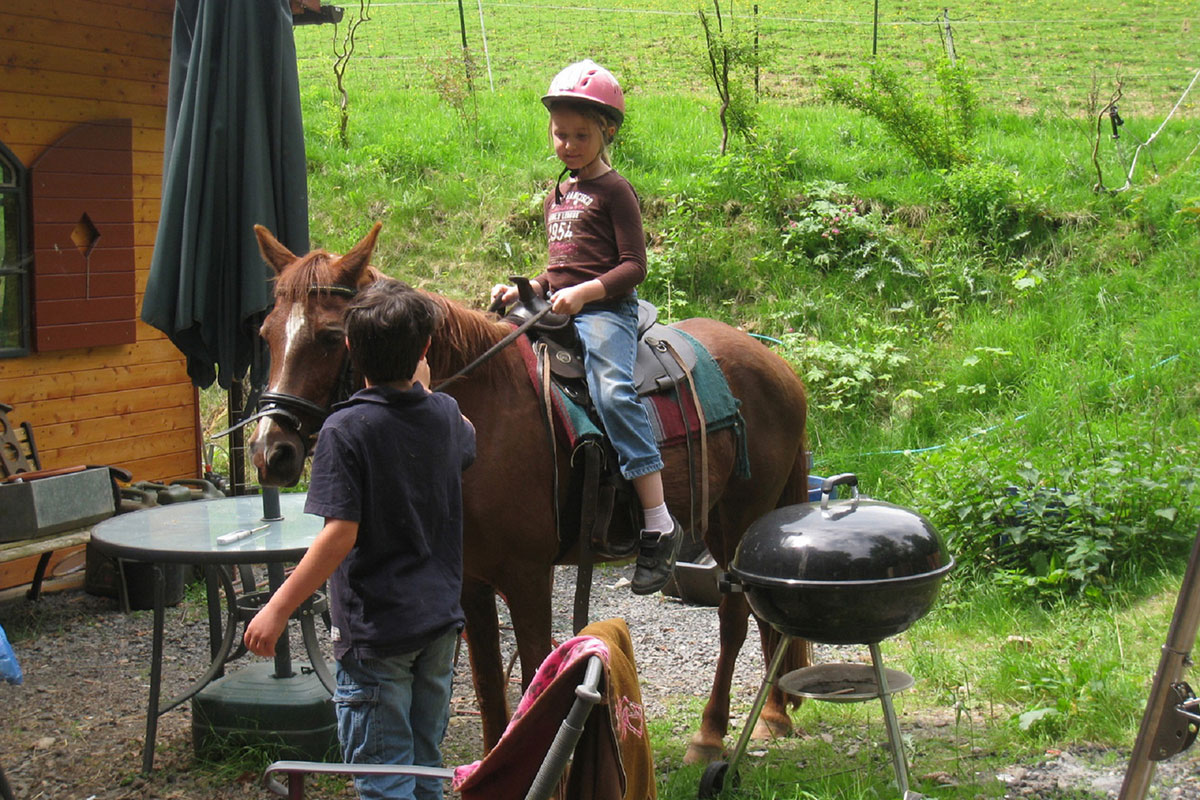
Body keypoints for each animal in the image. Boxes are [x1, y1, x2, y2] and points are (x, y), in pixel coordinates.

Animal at [250, 224, 816, 762]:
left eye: (329, 336)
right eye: (265, 334)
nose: (268, 451)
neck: (484, 412)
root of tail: (778, 366)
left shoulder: (526, 578)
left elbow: (532, 679)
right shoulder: (471, 584)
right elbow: (487, 687)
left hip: (737, 521)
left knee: (735, 620)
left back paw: (712, 733)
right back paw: (775, 714)